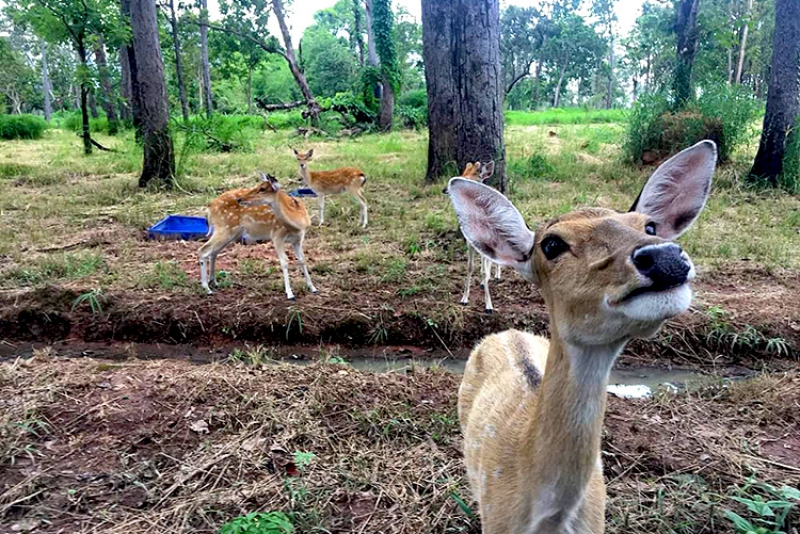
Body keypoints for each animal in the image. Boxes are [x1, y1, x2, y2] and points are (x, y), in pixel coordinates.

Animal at [198, 173, 318, 302]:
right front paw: (290, 294)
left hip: (231, 233)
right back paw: (207, 288)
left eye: (262, 189)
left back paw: (214, 282)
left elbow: (302, 260)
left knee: (213, 252)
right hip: (224, 228)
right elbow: (284, 261)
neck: (298, 223)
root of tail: (209, 210)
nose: (240, 199)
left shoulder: (298, 239)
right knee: (203, 250)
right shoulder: (277, 235)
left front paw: (313, 288)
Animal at [444, 161, 500, 316]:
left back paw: (497, 276)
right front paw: (464, 299)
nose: (445, 189)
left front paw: (489, 306)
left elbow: (484, 270)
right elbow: (470, 267)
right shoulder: (469, 242)